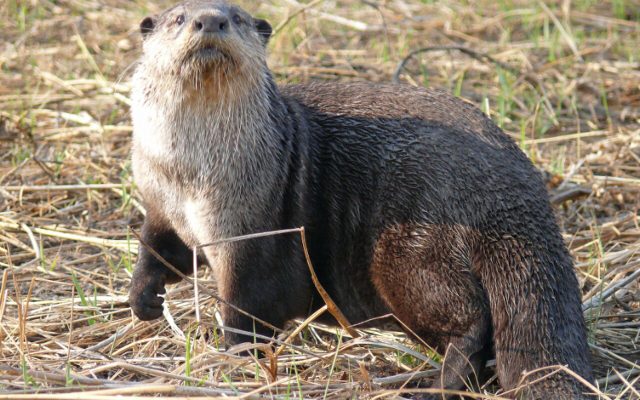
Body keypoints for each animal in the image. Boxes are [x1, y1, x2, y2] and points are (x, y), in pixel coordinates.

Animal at [128, 1, 594, 398]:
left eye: (237, 18)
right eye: (178, 18)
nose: (210, 21)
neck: (193, 178)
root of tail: (517, 194)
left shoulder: (252, 232)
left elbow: (247, 303)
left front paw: (237, 357)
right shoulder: (160, 204)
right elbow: (157, 249)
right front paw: (143, 300)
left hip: (412, 251)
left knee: (470, 322)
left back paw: (434, 386)